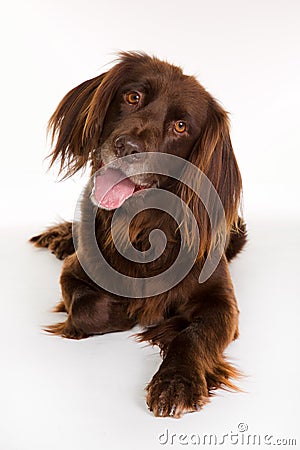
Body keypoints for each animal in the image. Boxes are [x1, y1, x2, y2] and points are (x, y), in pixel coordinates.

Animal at [30, 52, 246, 418]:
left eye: (181, 126)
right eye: (133, 97)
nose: (127, 147)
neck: (142, 230)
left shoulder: (222, 302)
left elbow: (195, 334)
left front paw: (176, 382)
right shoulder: (75, 271)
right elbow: (90, 308)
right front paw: (130, 310)